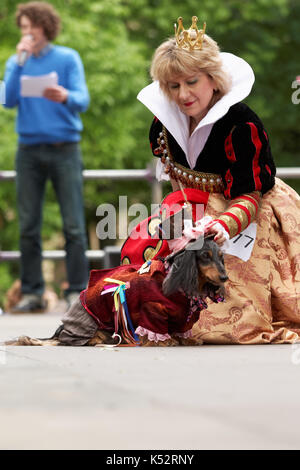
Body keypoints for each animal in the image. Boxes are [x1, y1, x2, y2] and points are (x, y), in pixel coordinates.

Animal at [5, 237, 227, 346]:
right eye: (205, 256)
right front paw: (165, 341)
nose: (225, 278)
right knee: (67, 340)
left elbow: (180, 330)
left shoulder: (180, 317)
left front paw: (186, 339)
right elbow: (156, 330)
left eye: (221, 257)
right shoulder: (151, 310)